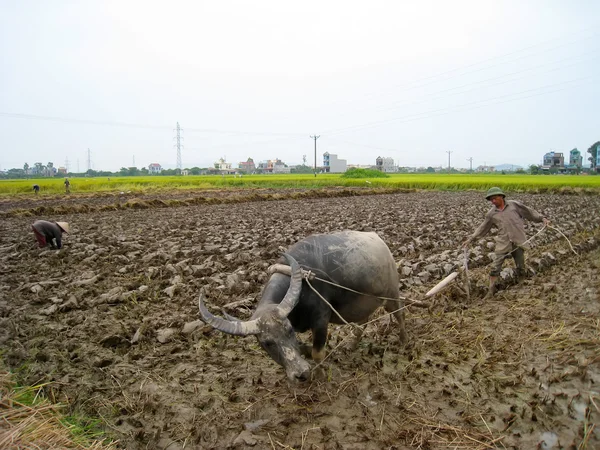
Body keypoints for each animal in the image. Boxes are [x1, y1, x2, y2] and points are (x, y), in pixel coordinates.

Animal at [199, 230, 406, 382]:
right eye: (267, 343)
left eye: (289, 330)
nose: (301, 374)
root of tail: (380, 241)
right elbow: (304, 348)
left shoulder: (321, 321)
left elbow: (317, 353)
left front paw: (320, 375)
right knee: (363, 321)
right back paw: (352, 344)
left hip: (391, 294)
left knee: (399, 314)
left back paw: (405, 342)